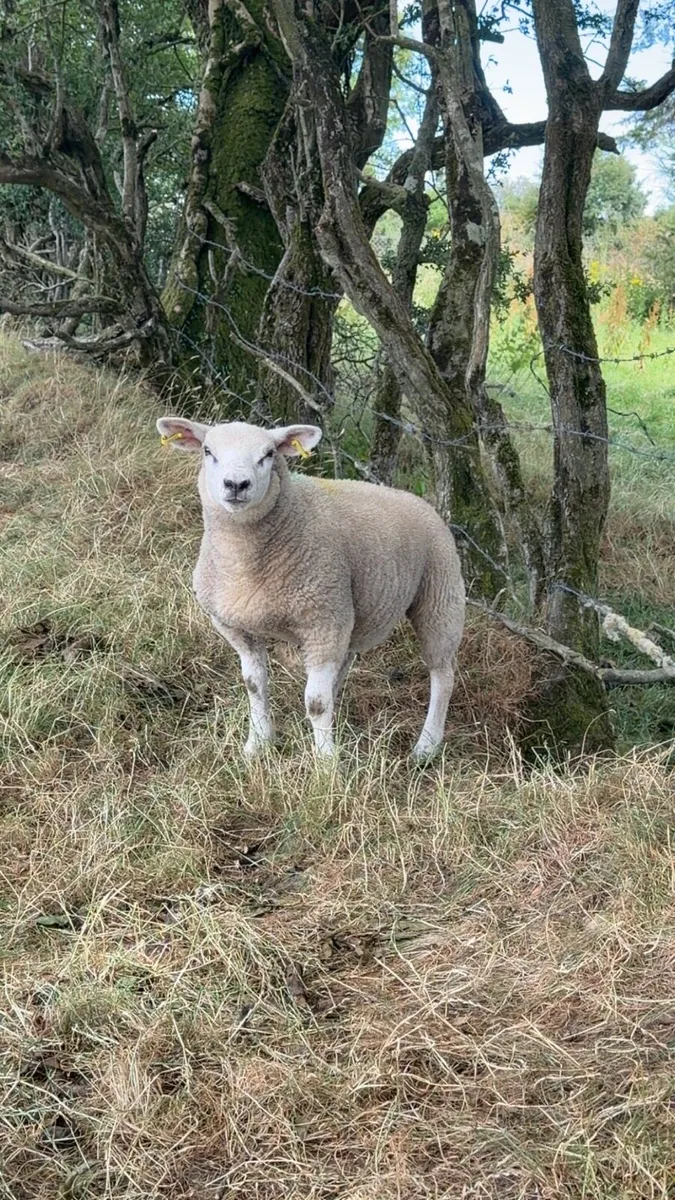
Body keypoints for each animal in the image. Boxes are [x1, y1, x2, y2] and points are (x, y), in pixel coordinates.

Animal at [157, 416, 465, 761]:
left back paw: (426, 746)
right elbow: (254, 685)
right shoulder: (235, 627)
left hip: (440, 595)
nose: (236, 484)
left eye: (268, 454)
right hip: (358, 609)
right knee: (345, 663)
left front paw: (327, 762)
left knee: (443, 674)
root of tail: (418, 500)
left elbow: (316, 703)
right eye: (208, 451)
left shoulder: (323, 620)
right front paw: (257, 744)